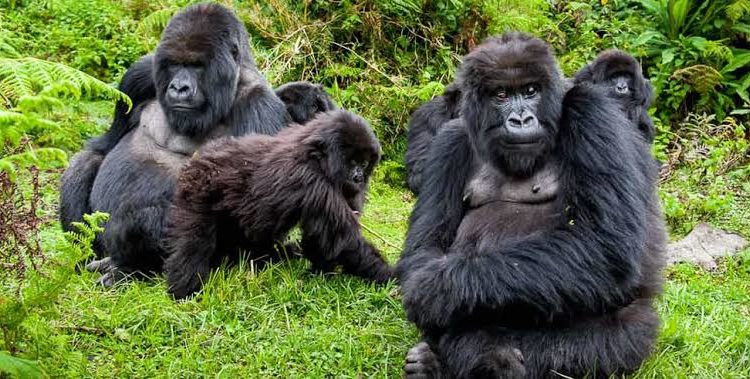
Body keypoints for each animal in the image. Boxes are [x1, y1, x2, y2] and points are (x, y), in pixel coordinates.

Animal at [57, 4, 288, 286]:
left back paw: (129, 269)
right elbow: (103, 146)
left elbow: (252, 216)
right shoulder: (140, 73)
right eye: (176, 64)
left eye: (197, 65)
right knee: (86, 161)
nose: (179, 87)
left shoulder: (260, 106)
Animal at [165, 109, 394, 300]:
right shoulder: (311, 180)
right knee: (194, 241)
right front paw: (390, 277)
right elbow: (343, 240)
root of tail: (198, 158)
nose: (358, 177)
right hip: (198, 190)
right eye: (352, 162)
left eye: (364, 163)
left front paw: (321, 271)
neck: (315, 153)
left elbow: (322, 238)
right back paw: (185, 288)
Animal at [396, 33, 668, 379]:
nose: (521, 119)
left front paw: (440, 289)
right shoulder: (449, 141)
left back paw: (490, 362)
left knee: (611, 338)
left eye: (530, 91)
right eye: (501, 95)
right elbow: (424, 246)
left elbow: (605, 245)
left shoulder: (593, 112)